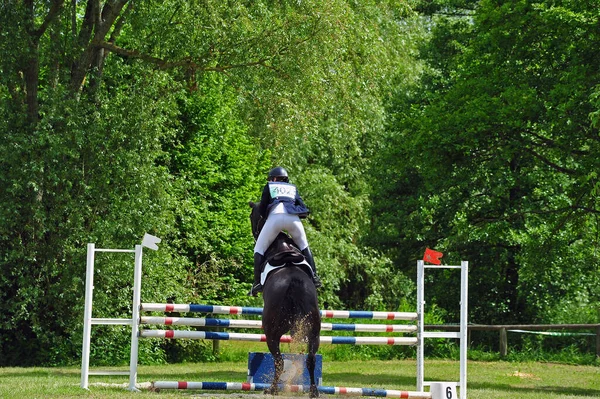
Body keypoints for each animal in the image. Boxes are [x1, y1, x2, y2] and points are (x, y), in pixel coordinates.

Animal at [247, 202, 322, 398]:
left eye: (252, 216)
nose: (254, 232)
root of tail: (293, 281)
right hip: (313, 331)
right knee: (310, 359)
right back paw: (313, 391)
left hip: (271, 332)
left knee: (279, 361)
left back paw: (272, 389)